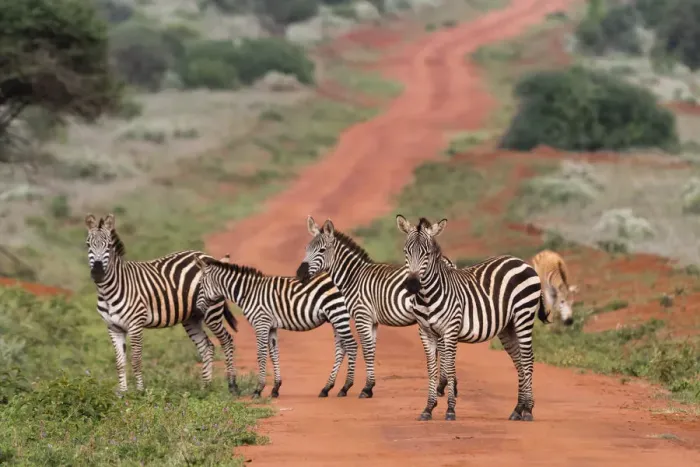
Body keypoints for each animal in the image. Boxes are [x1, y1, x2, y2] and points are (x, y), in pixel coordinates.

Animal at [84, 213, 239, 394]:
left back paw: (232, 386)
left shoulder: (135, 325)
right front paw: (122, 392)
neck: (108, 291)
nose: (97, 273)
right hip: (192, 317)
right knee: (206, 346)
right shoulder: (113, 328)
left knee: (227, 340)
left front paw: (140, 392)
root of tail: (206, 256)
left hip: (212, 312)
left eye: (108, 246)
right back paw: (205, 387)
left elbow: (136, 360)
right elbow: (119, 362)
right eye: (88, 245)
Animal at [194, 254, 358, 399]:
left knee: (351, 345)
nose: (197, 308)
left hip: (338, 313)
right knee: (341, 348)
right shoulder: (271, 326)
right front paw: (275, 388)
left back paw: (345, 387)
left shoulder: (261, 323)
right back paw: (326, 388)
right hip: (334, 317)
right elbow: (274, 354)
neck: (249, 292)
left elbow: (261, 355)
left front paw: (258, 389)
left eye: (200, 285)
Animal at [296, 216, 459, 399]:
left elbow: (366, 350)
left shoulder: (362, 316)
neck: (354, 277)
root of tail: (448, 262)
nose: (300, 274)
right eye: (306, 248)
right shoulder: (372, 321)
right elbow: (371, 350)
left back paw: (443, 386)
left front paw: (364, 388)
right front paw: (370, 386)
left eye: (322, 250)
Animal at [396, 214, 549, 422]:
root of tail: (521, 262)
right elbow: (432, 369)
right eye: (406, 251)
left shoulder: (450, 331)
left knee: (527, 359)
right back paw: (518, 409)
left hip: (523, 316)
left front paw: (450, 410)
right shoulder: (425, 333)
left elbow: (449, 368)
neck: (427, 297)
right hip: (508, 327)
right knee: (519, 361)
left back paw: (528, 410)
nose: (412, 285)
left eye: (427, 253)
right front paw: (428, 408)